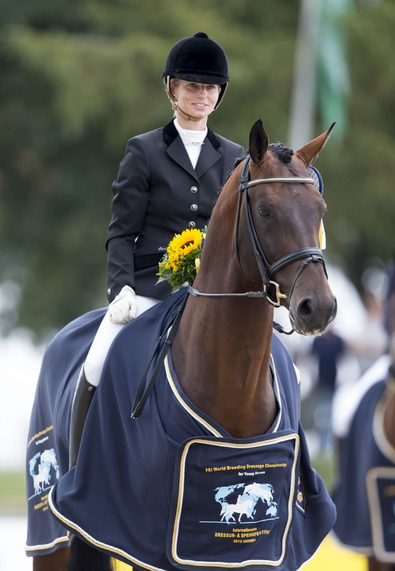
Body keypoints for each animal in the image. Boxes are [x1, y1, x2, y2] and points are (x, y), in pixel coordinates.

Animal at [27, 118, 338, 568]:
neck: (233, 383)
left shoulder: (256, 551)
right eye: (265, 211)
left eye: (320, 211)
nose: (320, 307)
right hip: (56, 537)